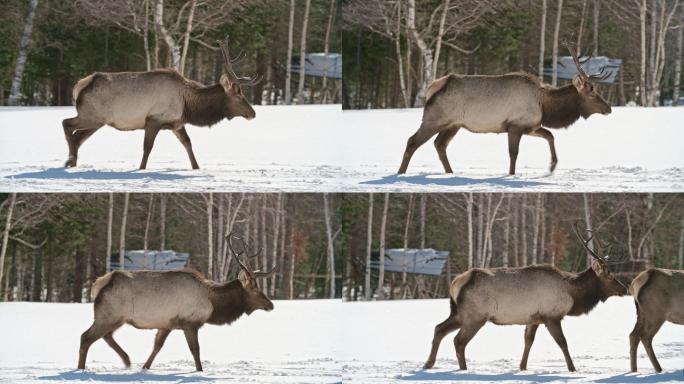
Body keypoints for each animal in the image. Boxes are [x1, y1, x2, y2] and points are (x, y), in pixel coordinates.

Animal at [62, 37, 260, 170]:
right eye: (238, 95)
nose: (253, 113)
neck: (188, 105)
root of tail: (80, 85)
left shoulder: (176, 124)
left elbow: (188, 143)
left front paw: (197, 167)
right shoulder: (153, 120)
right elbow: (147, 148)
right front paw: (141, 169)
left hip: (98, 121)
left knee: (78, 137)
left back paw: (72, 162)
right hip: (91, 115)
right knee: (67, 124)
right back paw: (69, 159)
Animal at [77, 234, 276, 372]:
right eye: (255, 289)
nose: (271, 305)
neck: (213, 303)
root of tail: (99, 283)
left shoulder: (167, 324)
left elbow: (157, 346)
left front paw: (144, 367)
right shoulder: (189, 322)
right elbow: (195, 350)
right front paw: (200, 371)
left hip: (117, 318)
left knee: (106, 336)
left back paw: (127, 360)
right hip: (109, 315)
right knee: (86, 337)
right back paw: (81, 368)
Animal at [398, 44, 612, 176]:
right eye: (592, 92)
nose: (609, 108)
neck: (545, 105)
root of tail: (433, 87)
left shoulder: (531, 126)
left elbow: (550, 135)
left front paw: (552, 166)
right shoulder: (514, 125)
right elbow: (513, 153)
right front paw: (511, 174)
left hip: (454, 124)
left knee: (440, 145)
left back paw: (450, 172)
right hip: (434, 119)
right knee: (412, 141)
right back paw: (400, 173)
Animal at [424, 225, 628, 372]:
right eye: (610, 275)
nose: (624, 288)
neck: (572, 295)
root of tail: (456, 281)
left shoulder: (534, 318)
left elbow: (528, 341)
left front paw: (522, 367)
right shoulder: (551, 316)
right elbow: (563, 342)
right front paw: (572, 368)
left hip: (459, 313)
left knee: (439, 329)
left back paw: (428, 364)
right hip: (475, 315)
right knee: (458, 340)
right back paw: (463, 369)